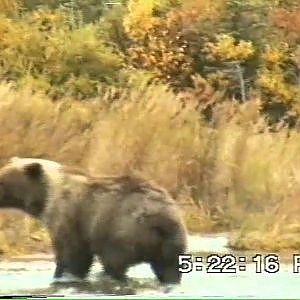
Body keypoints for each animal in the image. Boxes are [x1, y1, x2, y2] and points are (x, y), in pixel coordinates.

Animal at [0, 157, 188, 284]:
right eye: (2, 175)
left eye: (2, 180)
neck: (45, 198)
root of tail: (161, 217)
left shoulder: (68, 217)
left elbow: (72, 255)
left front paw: (63, 276)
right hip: (173, 241)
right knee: (169, 268)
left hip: (122, 230)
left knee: (114, 263)